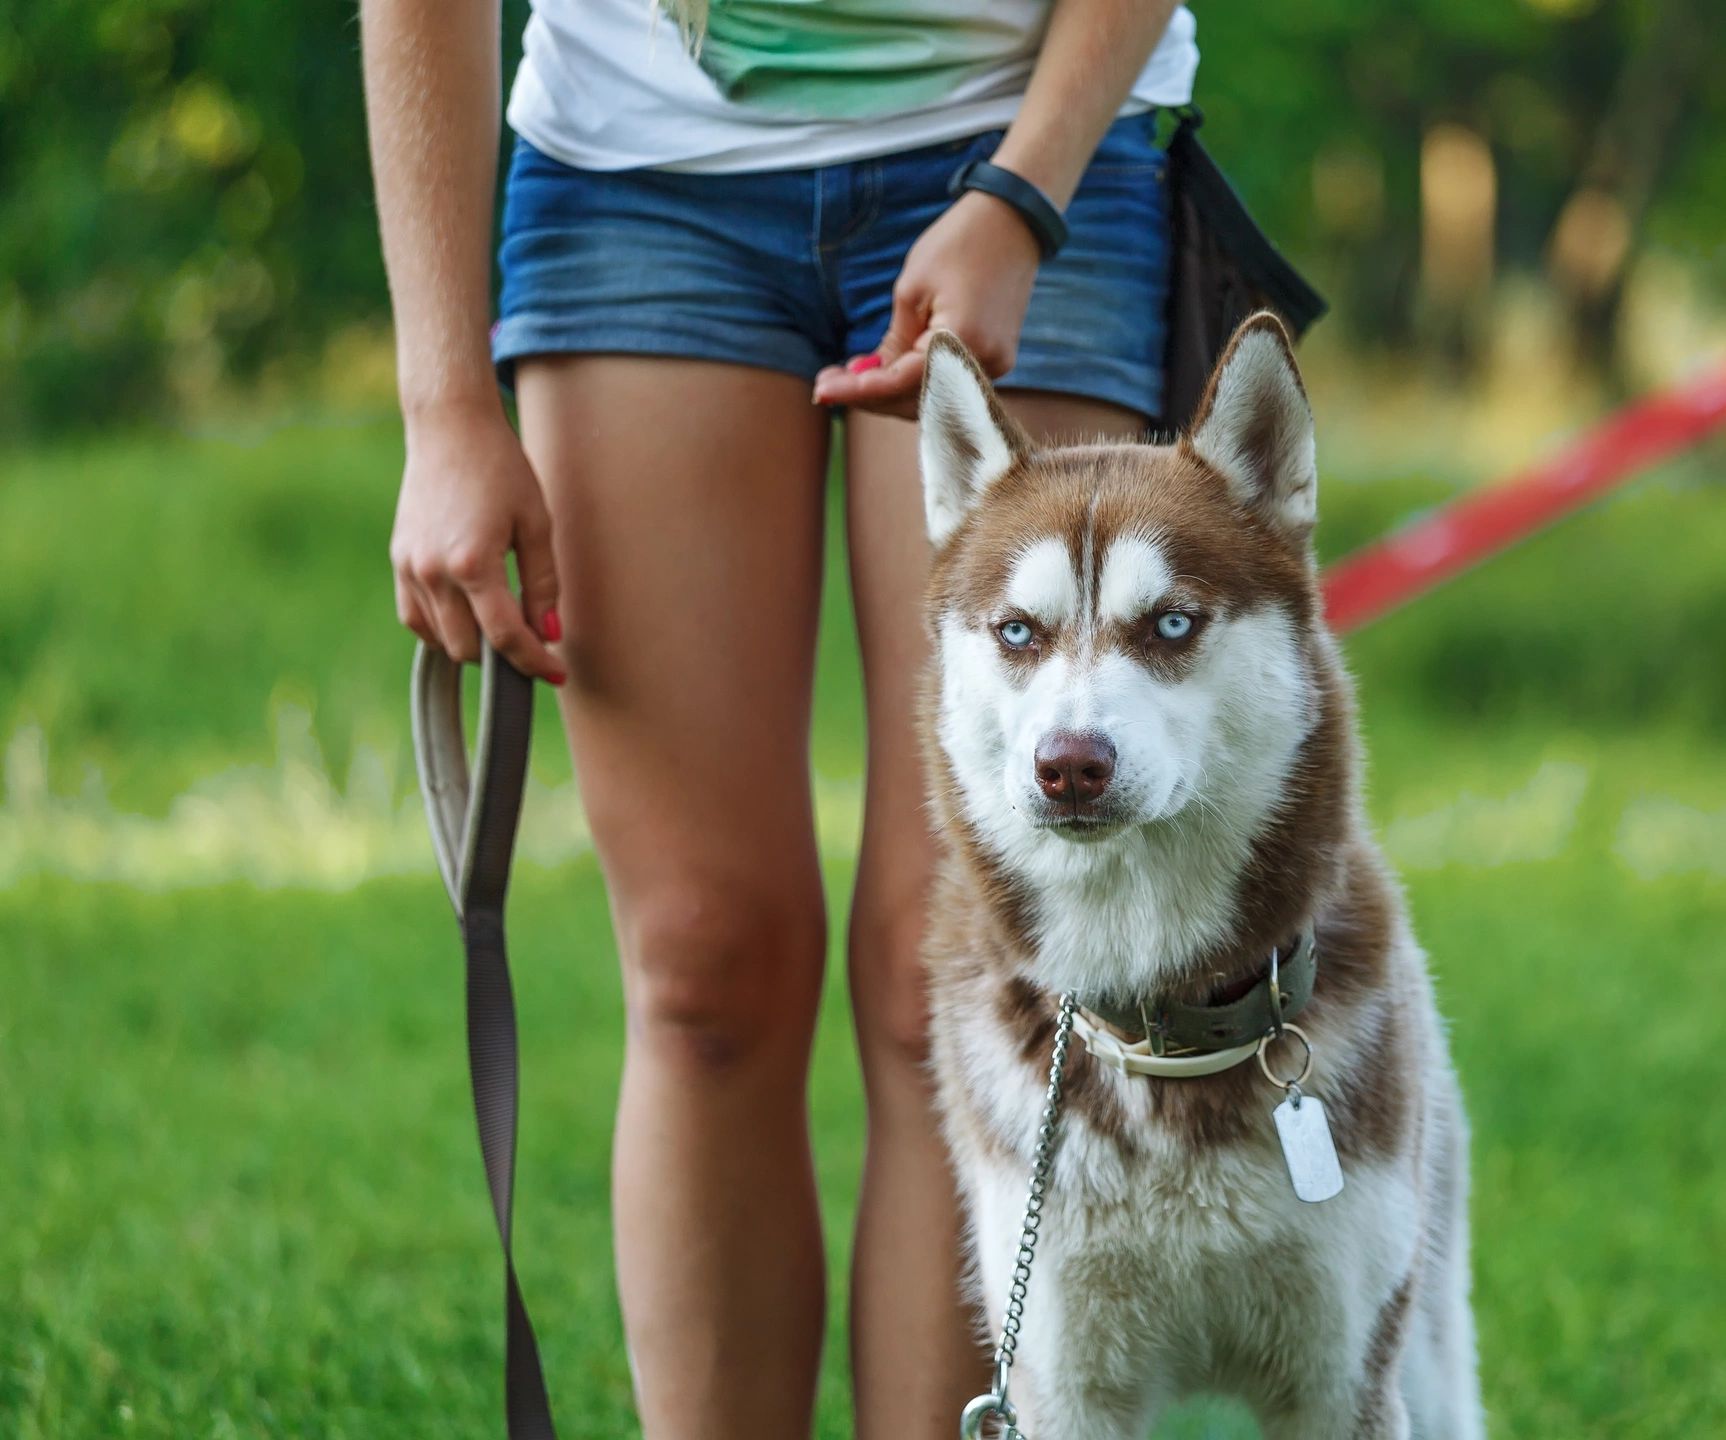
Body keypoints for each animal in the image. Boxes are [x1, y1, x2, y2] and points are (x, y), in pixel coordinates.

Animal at [918, 317, 1484, 1436]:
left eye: (1171, 623)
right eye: (1018, 631)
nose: (1069, 764)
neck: (1158, 1020)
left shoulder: (1343, 1379)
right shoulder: (1062, 1376)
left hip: (1430, 1350)